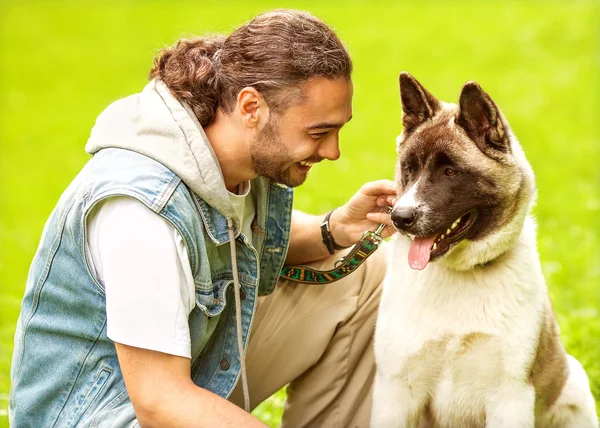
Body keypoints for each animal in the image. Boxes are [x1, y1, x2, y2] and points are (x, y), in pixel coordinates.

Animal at [372, 72, 596, 426]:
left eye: (450, 171)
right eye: (409, 168)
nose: (400, 218)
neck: (460, 274)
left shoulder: (510, 397)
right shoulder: (396, 393)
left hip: (575, 391)